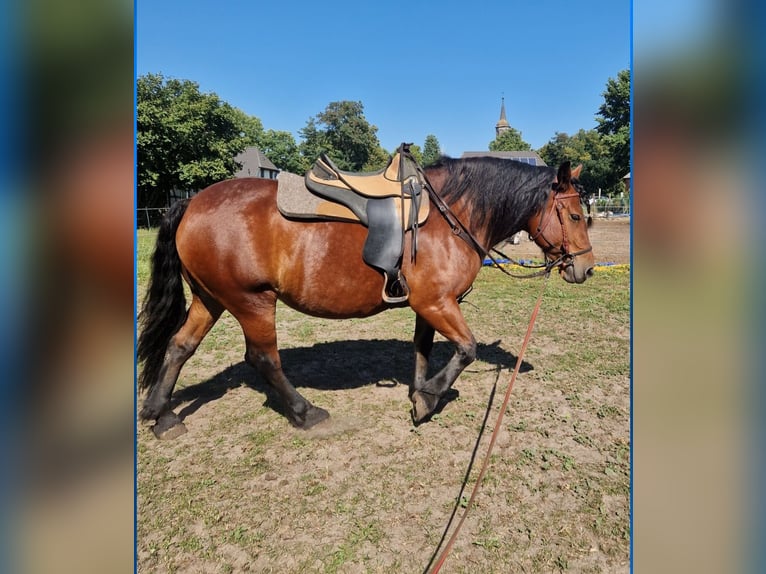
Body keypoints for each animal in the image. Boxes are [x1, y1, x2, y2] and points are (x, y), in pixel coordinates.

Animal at [137, 157, 595, 439]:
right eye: (575, 215)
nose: (586, 269)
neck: (450, 216)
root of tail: (192, 201)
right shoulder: (437, 303)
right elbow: (467, 349)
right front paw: (429, 398)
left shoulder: (429, 305)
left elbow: (422, 349)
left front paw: (419, 390)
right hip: (252, 301)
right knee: (263, 358)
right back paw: (305, 413)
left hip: (210, 298)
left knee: (180, 346)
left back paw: (162, 415)